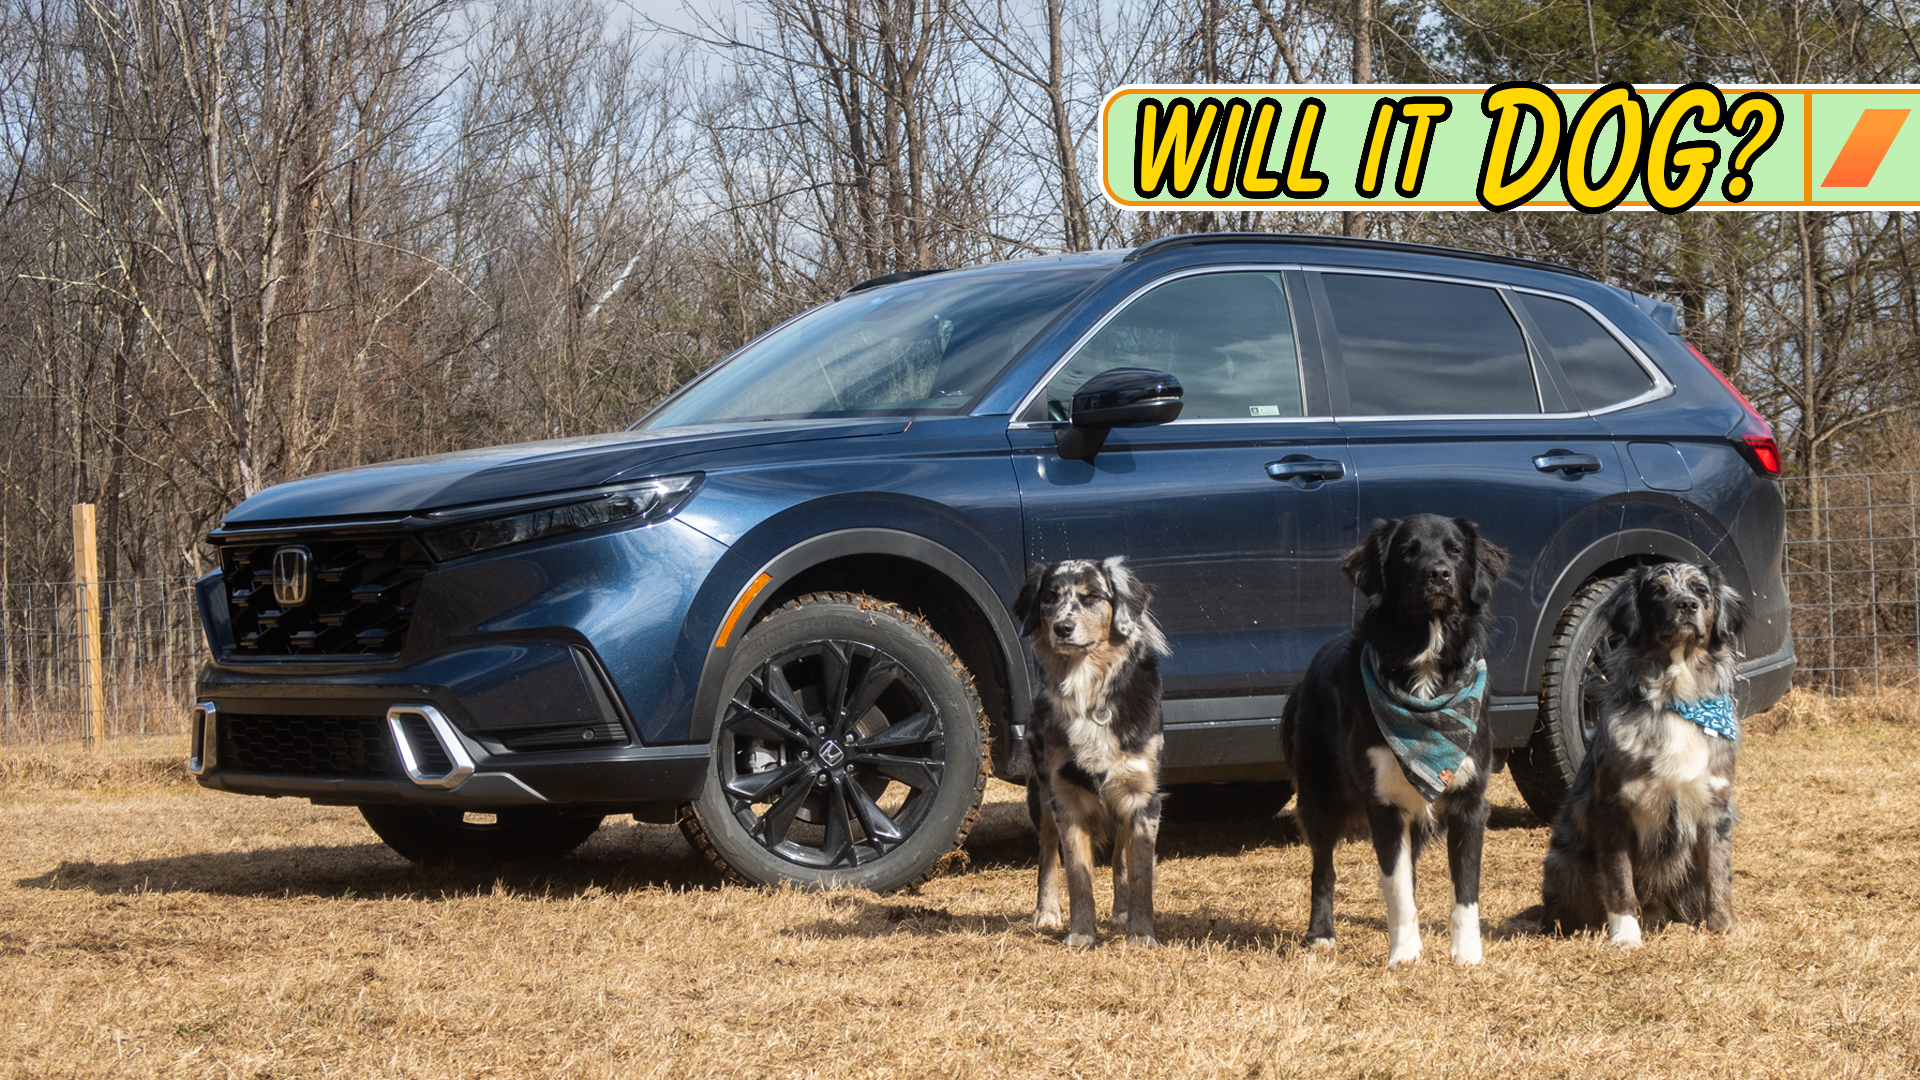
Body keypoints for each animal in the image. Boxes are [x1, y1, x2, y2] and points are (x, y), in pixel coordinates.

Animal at [1006, 553, 1167, 941]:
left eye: (1093, 597)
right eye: (1050, 598)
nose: (1062, 627)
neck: (1089, 689)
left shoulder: (1142, 797)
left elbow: (1140, 874)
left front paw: (1141, 933)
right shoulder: (1065, 798)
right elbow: (1078, 874)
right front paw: (1081, 933)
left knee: (1121, 857)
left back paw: (1121, 912)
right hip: (1040, 797)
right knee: (1047, 853)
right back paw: (1046, 911)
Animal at [1282, 511, 1505, 968]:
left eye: (1455, 550)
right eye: (1407, 552)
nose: (1439, 574)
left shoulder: (1470, 801)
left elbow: (1465, 890)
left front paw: (1467, 955)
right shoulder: (1383, 803)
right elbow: (1398, 890)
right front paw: (1404, 955)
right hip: (1320, 797)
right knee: (1323, 870)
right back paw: (1321, 934)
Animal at [1536, 557, 1751, 945]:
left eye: (1700, 590)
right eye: (1657, 591)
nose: (1687, 605)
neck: (1675, 697)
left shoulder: (1715, 808)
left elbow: (1718, 875)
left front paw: (1722, 928)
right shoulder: (1612, 809)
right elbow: (1620, 882)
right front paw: (1626, 937)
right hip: (1566, 862)